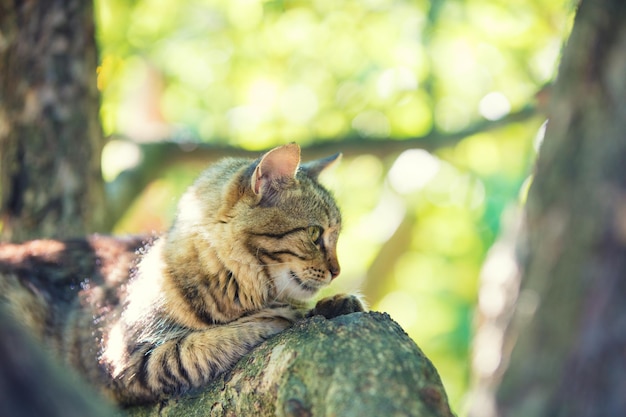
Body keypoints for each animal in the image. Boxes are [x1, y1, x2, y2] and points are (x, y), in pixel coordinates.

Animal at [0, 145, 366, 404]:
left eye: (336, 236)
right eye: (315, 234)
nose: (337, 271)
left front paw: (337, 301)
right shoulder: (128, 361)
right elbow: (202, 344)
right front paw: (281, 315)